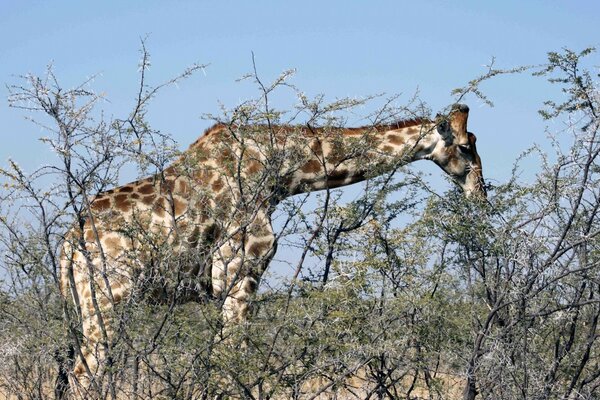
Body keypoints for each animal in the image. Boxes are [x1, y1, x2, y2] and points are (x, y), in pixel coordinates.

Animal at [58, 104, 486, 394]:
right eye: (467, 146)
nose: (480, 192)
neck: (278, 171)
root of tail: (68, 245)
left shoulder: (223, 288)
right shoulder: (240, 273)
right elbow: (234, 362)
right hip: (108, 299)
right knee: (84, 375)